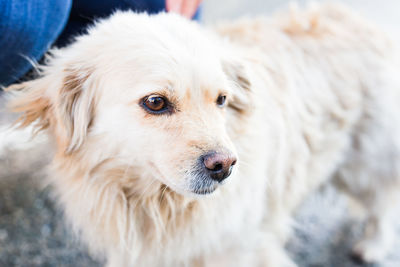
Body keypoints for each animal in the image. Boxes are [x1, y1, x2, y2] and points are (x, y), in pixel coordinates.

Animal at [5, 2, 400, 267]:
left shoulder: (241, 249)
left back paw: (374, 245)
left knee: (384, 197)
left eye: (222, 99)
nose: (225, 166)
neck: (155, 203)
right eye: (155, 102)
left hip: (366, 162)